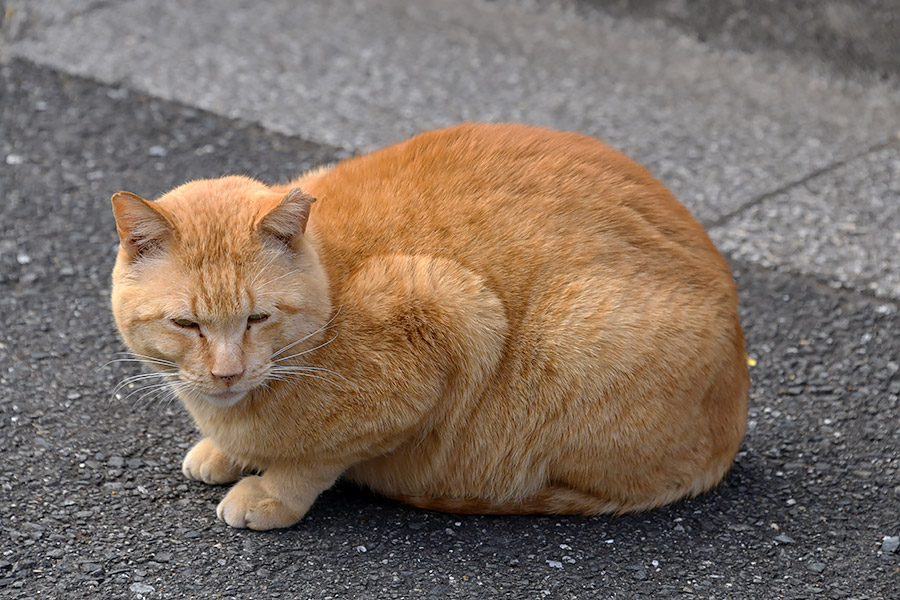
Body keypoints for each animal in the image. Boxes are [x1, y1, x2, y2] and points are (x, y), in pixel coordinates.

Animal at [109, 123, 748, 528]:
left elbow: (316, 458)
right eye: (187, 323)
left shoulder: (441, 320)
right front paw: (224, 450)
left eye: (258, 318)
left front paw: (270, 490)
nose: (227, 372)